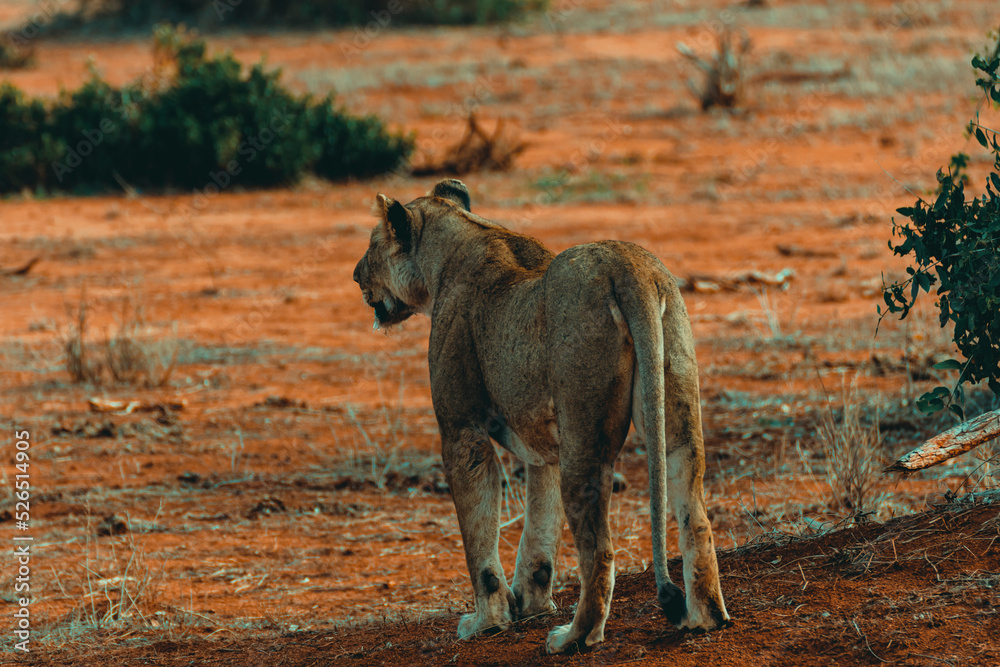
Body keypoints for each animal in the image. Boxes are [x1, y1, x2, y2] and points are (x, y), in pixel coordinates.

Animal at [353, 179, 730, 654]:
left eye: (371, 244)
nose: (355, 275)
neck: (454, 244)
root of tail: (628, 267)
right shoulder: (542, 440)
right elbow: (539, 527)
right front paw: (530, 604)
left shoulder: (461, 431)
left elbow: (479, 536)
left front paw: (488, 622)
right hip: (674, 411)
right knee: (694, 514)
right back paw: (704, 619)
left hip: (584, 440)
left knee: (599, 550)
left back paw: (574, 637)